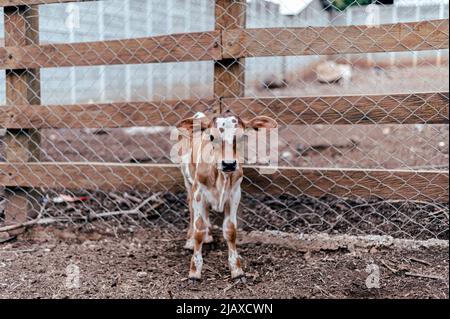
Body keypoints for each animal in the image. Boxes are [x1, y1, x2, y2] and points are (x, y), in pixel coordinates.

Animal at [177, 111, 278, 282]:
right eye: (212, 137)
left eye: (243, 136)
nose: (229, 164)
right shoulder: (199, 192)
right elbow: (199, 229)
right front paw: (194, 271)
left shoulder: (235, 194)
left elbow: (230, 231)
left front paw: (237, 270)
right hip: (187, 181)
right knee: (191, 209)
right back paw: (190, 241)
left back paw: (209, 237)